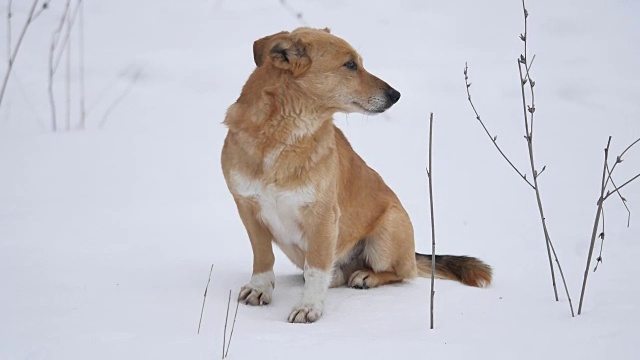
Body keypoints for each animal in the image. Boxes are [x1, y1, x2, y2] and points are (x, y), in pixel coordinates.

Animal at [220, 27, 490, 324]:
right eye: (350, 65)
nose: (396, 94)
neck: (284, 135)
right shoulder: (247, 208)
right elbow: (263, 258)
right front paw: (260, 289)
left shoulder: (323, 216)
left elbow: (316, 268)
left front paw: (309, 307)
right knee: (336, 275)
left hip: (388, 231)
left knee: (401, 274)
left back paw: (366, 276)